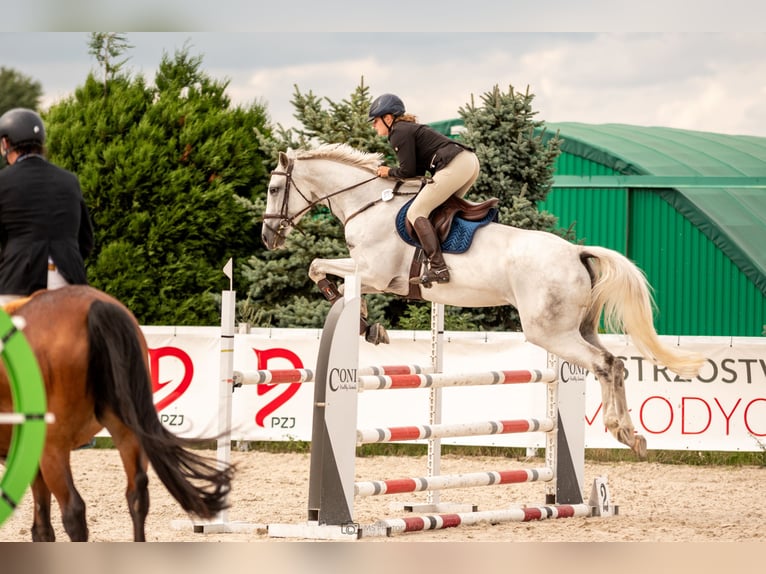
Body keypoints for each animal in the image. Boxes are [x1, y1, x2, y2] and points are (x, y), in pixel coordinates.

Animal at [0, 285, 234, 541]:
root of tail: (97, 305)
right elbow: (42, 527)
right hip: (127, 433)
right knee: (138, 496)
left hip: (52, 447)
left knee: (74, 510)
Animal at [261, 143, 707, 459]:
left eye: (274, 188)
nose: (268, 238)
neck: (367, 204)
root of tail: (577, 252)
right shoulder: (378, 279)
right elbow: (336, 279)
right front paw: (370, 325)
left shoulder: (375, 273)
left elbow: (318, 267)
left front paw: (360, 319)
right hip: (578, 328)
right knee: (615, 364)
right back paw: (633, 435)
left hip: (550, 333)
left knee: (605, 364)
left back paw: (621, 430)